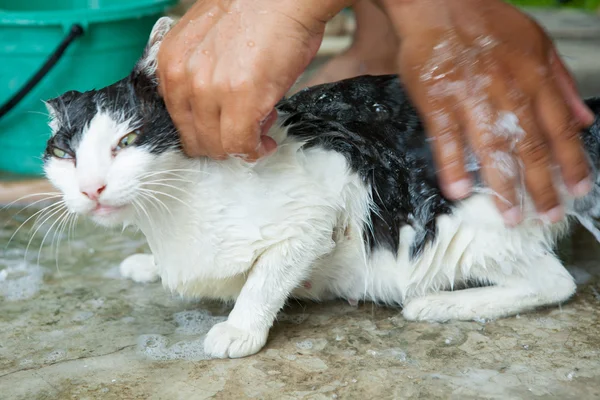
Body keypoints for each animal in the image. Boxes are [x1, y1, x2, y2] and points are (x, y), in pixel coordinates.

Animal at [42, 17, 600, 358]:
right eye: (67, 155)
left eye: (128, 140)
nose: (91, 189)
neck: (170, 212)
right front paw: (147, 264)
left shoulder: (320, 207)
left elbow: (266, 276)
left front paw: (241, 328)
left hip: (461, 228)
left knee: (554, 282)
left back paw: (438, 304)